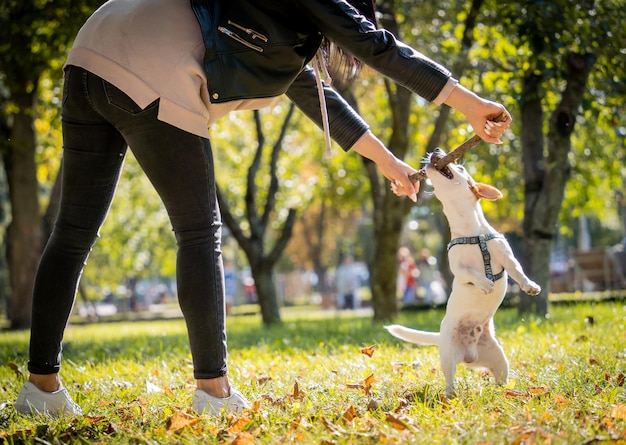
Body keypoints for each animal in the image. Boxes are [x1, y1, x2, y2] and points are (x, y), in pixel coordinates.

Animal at [382, 148, 540, 396]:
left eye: (461, 167)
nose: (437, 150)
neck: (471, 230)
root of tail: (469, 353)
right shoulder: (457, 268)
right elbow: (471, 274)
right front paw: (485, 284)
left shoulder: (505, 255)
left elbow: (517, 269)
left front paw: (530, 286)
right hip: (448, 356)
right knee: (449, 380)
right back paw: (450, 395)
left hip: (499, 358)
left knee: (501, 377)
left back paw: (506, 393)